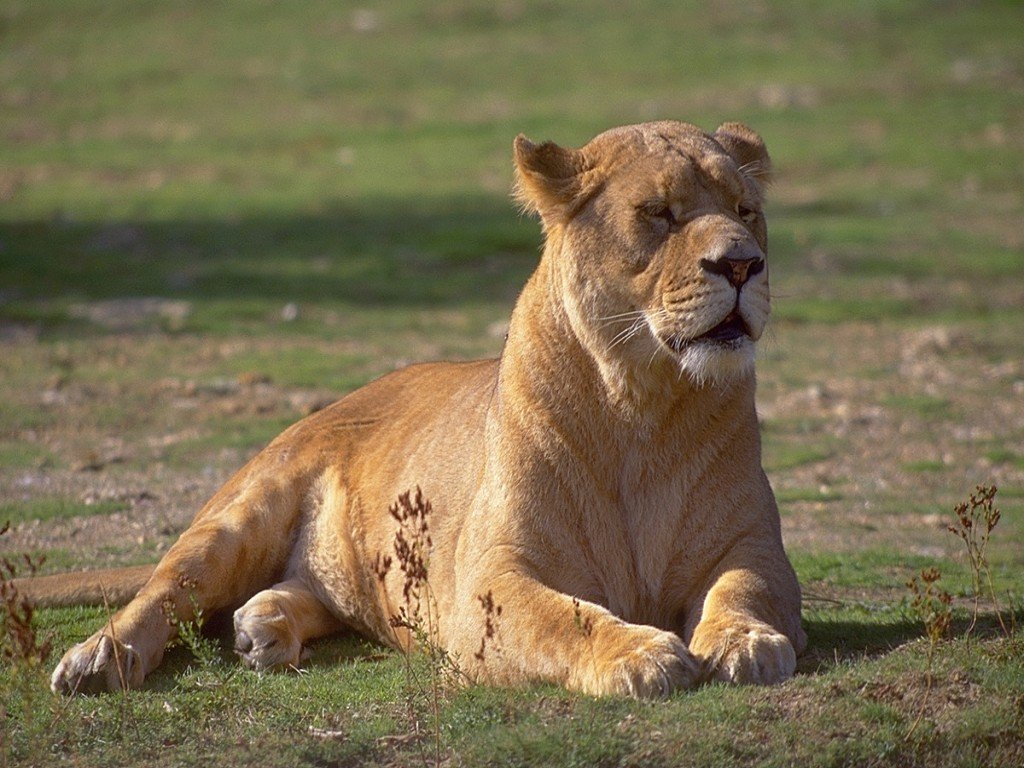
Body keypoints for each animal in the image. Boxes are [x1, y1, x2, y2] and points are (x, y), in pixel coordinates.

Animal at [19, 120, 806, 698]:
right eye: (660, 215)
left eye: (747, 213)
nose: (743, 264)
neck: (640, 400)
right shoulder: (488, 587)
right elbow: (568, 621)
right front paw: (642, 655)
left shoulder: (754, 546)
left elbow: (745, 588)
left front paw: (746, 643)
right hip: (242, 511)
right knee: (164, 591)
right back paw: (98, 660)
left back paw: (262, 626)